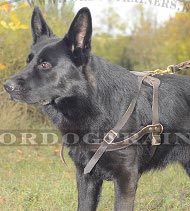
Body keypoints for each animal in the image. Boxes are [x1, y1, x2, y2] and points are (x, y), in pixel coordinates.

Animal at [3, 6, 190, 211]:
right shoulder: (86, 177)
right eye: (28, 61)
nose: (7, 86)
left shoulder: (126, 178)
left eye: (45, 65)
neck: (94, 105)